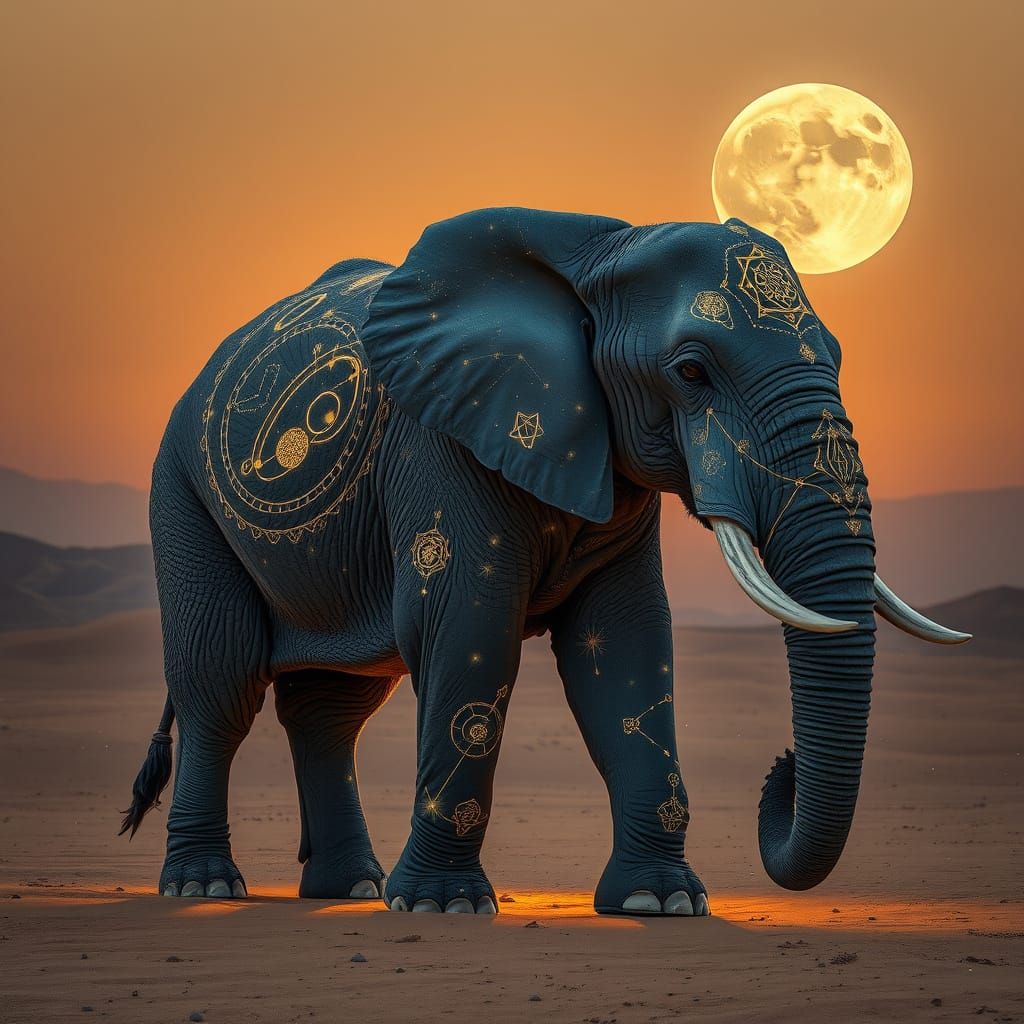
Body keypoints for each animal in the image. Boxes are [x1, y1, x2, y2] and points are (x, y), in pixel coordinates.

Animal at [120, 207, 969, 915]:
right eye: (691, 372)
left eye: (837, 355)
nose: (781, 771)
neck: (599, 250)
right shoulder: (442, 442)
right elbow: (469, 630)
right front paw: (443, 909)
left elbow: (626, 648)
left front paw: (658, 904)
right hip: (182, 489)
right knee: (220, 680)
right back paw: (205, 888)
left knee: (332, 708)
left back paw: (349, 890)